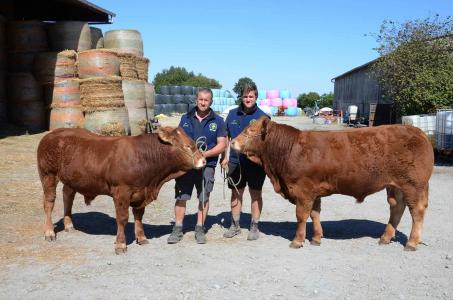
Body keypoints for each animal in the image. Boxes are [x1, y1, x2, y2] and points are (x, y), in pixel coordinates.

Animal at [38, 126, 206, 253]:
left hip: (71, 179)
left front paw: (141, 238)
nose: (204, 160)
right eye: (187, 146)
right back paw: (49, 232)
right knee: (49, 203)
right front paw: (120, 244)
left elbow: (139, 216)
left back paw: (69, 225)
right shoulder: (121, 192)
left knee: (68, 195)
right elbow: (122, 218)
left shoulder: (140, 192)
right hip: (48, 175)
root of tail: (52, 133)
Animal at [231, 117, 432, 251]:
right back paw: (385, 237)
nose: (232, 142)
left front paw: (297, 240)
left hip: (413, 185)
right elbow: (315, 214)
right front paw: (316, 238)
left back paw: (411, 243)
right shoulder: (313, 191)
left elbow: (301, 216)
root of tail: (418, 132)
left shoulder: (303, 190)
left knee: (417, 211)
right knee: (397, 208)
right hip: (395, 186)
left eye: (249, 131)